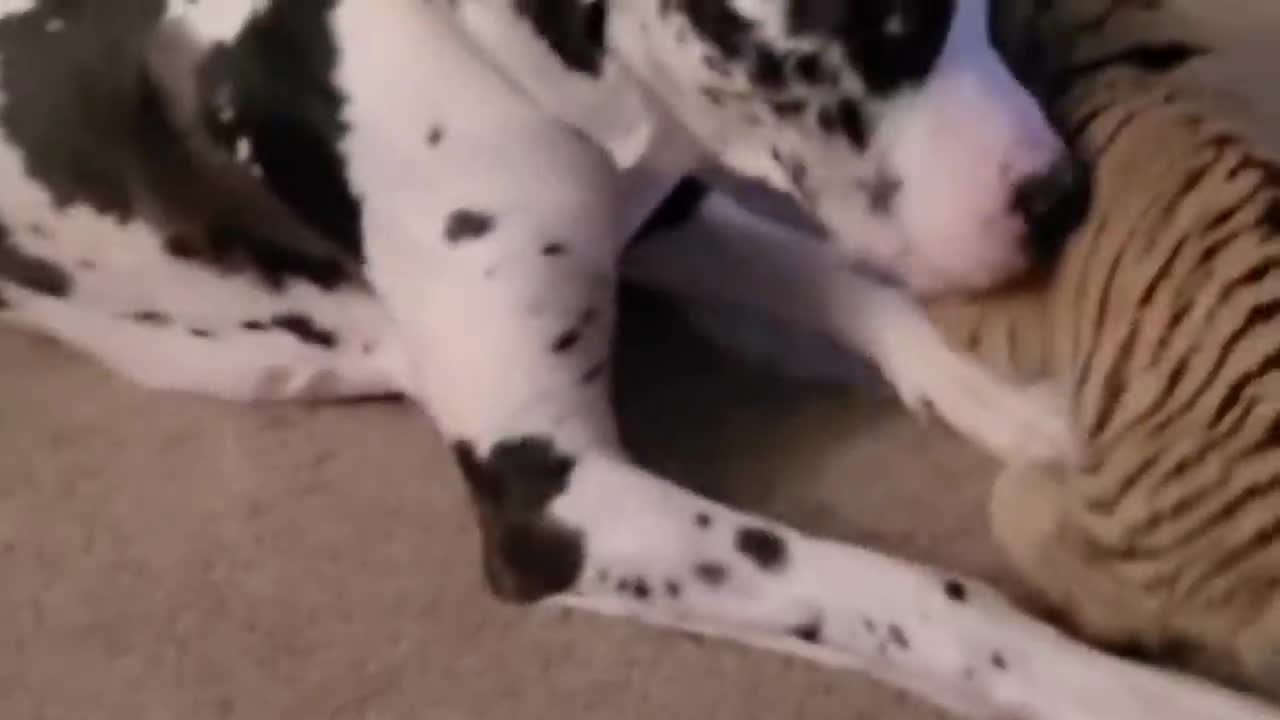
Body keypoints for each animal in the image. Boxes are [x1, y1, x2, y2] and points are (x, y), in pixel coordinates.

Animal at [0, 1, 1264, 717]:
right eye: (878, 27)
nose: (1061, 195)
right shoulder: (554, 501)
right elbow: (924, 597)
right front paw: (1139, 695)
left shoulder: (659, 215)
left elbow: (850, 288)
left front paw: (1009, 402)